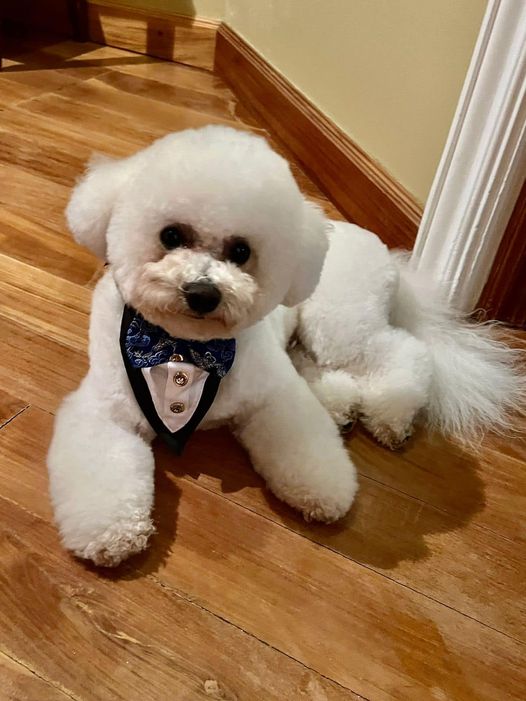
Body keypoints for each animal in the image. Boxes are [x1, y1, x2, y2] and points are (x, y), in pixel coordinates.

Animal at [48, 124, 358, 564]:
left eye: (241, 251)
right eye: (171, 235)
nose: (202, 293)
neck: (182, 347)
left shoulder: (274, 395)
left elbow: (300, 436)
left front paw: (324, 487)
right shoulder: (105, 408)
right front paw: (110, 532)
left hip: (322, 318)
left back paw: (336, 400)